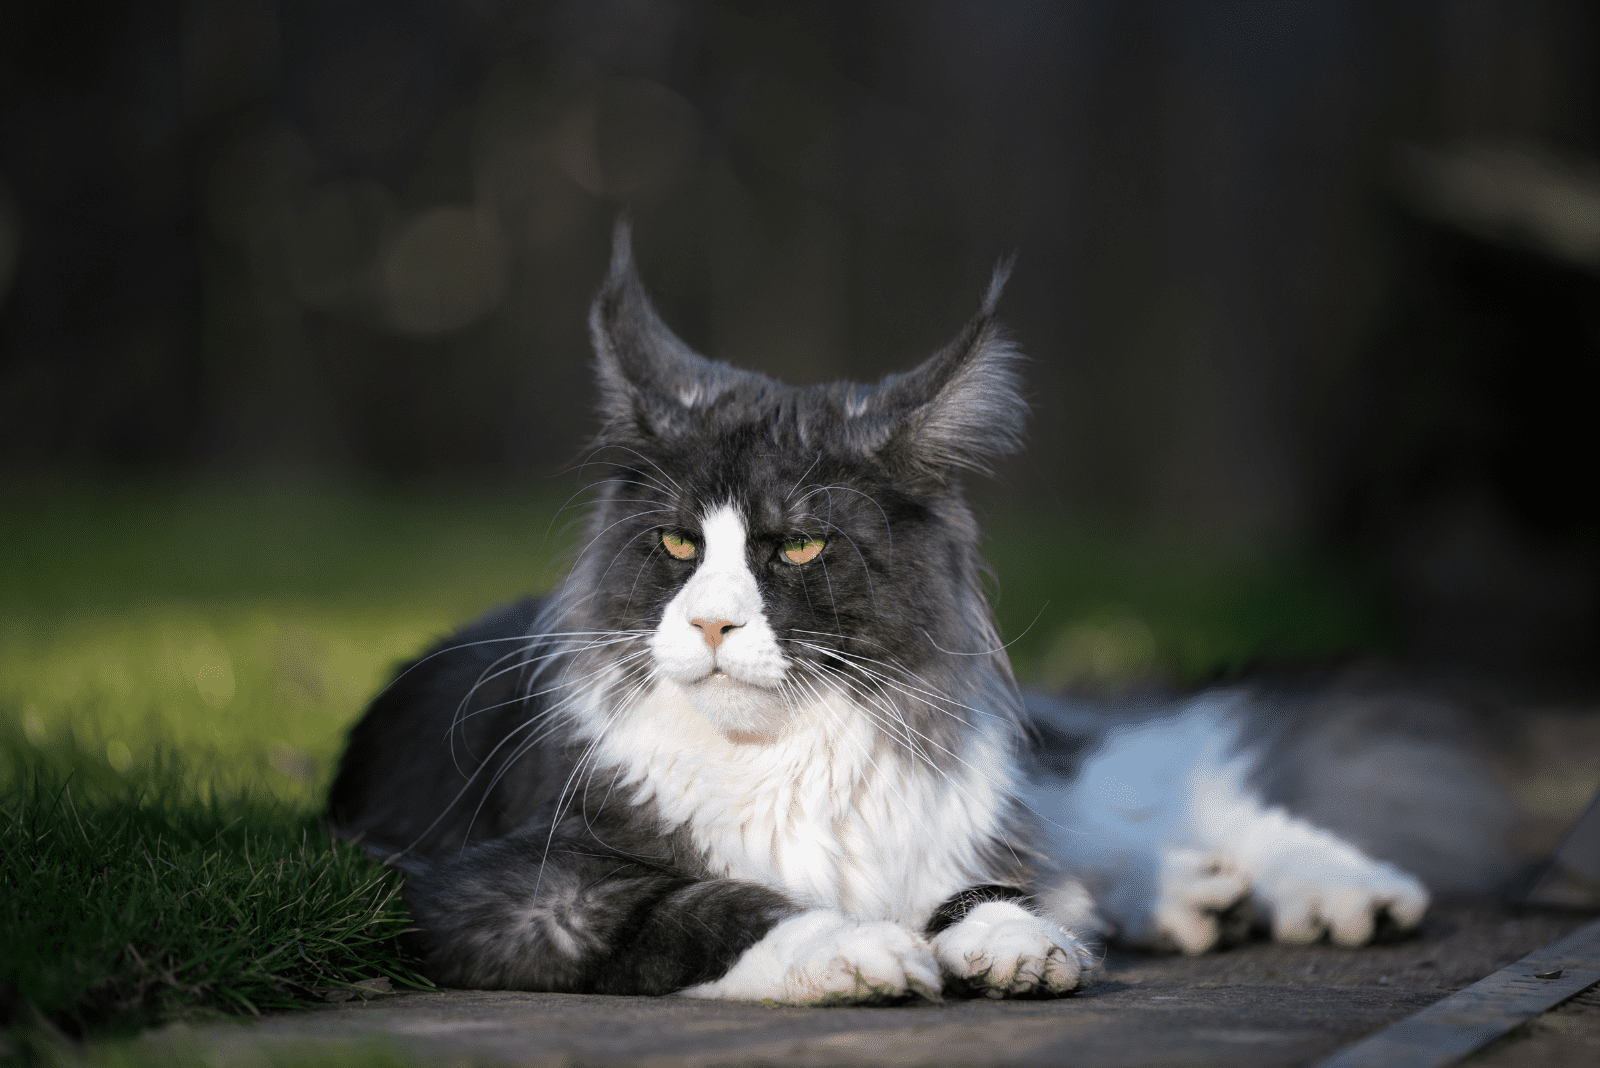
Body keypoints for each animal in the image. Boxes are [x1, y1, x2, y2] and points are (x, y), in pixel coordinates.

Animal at [328, 220, 1440, 1004]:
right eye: (680, 546)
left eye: (798, 546)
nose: (712, 625)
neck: (785, 755)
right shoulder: (497, 888)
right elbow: (707, 903)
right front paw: (862, 948)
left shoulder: (948, 824)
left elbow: (979, 884)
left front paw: (1015, 941)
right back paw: (1190, 898)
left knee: (1148, 785)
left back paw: (1340, 890)